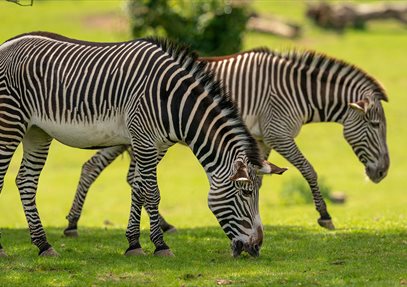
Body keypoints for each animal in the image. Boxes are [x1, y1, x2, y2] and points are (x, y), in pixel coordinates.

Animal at [0, 32, 288, 258]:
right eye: (246, 193)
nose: (257, 248)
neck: (171, 102)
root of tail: (6, 43)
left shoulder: (155, 145)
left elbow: (138, 188)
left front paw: (134, 243)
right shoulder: (144, 140)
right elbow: (152, 192)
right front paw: (161, 245)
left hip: (37, 131)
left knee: (26, 181)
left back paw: (43, 245)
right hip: (10, 122)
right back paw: (5, 249)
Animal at [65, 46, 390, 236]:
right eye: (375, 125)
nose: (383, 172)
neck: (296, 90)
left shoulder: (260, 139)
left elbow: (260, 177)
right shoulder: (278, 132)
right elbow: (309, 169)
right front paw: (324, 216)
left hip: (127, 137)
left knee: (100, 170)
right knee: (119, 174)